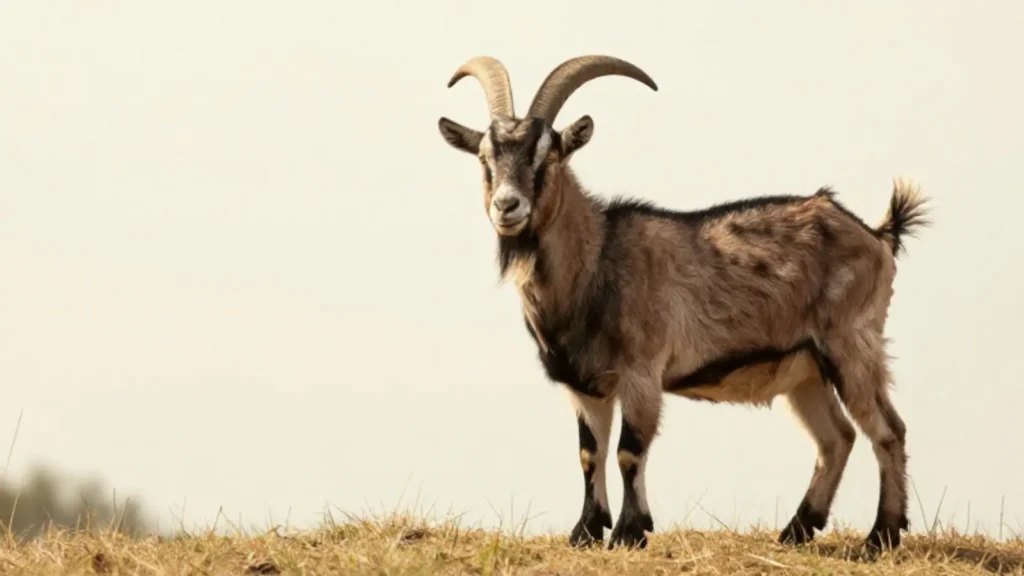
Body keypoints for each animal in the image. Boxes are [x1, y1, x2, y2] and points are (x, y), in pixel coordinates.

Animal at [437, 55, 930, 552]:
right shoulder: (584, 385)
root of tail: (878, 235)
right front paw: (586, 530)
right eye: (485, 158)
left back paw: (880, 536)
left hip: (851, 344)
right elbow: (589, 453)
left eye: (549, 155)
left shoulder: (641, 374)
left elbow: (629, 451)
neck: (598, 258)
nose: (508, 206)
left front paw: (631, 531)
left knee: (887, 430)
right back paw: (797, 529)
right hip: (804, 369)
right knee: (836, 438)